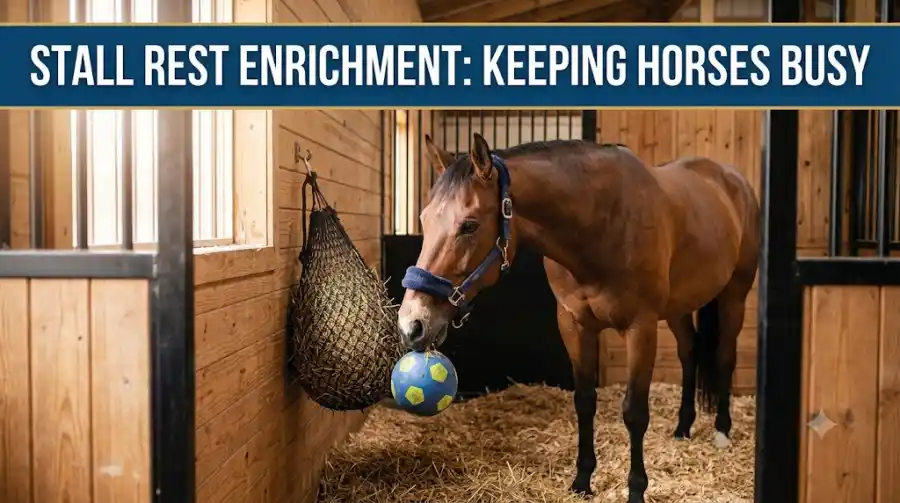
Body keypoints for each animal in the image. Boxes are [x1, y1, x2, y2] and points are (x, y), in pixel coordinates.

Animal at [396, 132, 760, 503]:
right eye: (424, 219)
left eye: (469, 225)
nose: (412, 323)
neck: (601, 224)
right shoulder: (574, 324)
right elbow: (584, 401)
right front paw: (582, 481)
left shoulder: (640, 327)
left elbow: (635, 412)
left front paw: (636, 489)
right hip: (679, 307)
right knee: (689, 354)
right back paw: (683, 427)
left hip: (734, 295)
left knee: (725, 358)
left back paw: (722, 432)